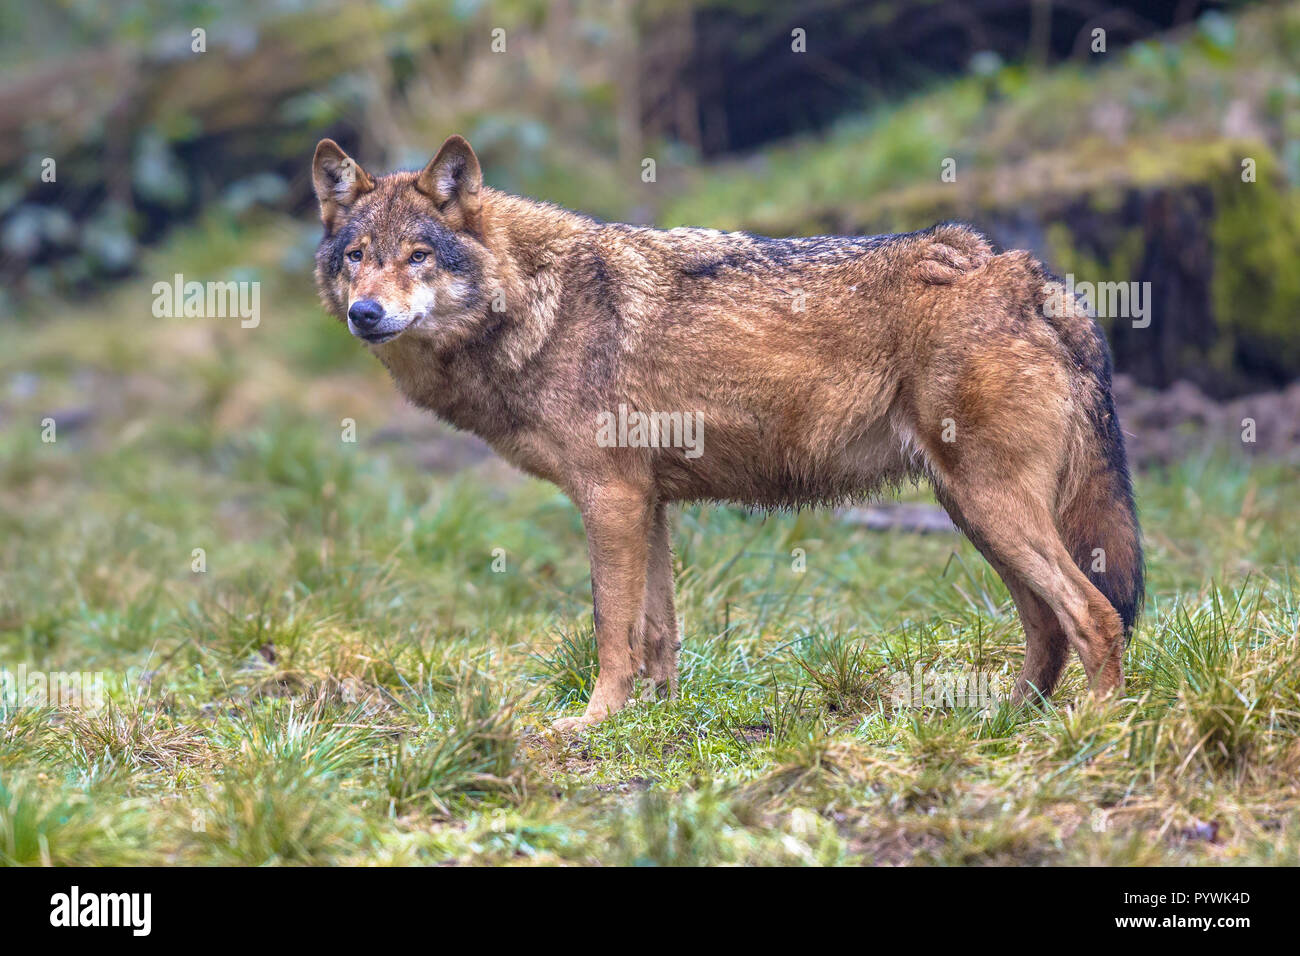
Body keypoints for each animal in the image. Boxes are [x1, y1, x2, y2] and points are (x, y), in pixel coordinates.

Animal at [311, 135, 1143, 732]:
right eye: (356, 257)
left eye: (418, 256)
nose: (365, 313)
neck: (535, 306)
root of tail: (1026, 273)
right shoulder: (647, 504)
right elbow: (657, 636)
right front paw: (656, 719)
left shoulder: (610, 498)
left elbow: (610, 629)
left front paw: (592, 723)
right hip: (972, 511)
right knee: (1047, 626)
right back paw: (1004, 725)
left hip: (990, 507)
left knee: (1094, 615)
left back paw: (1090, 733)